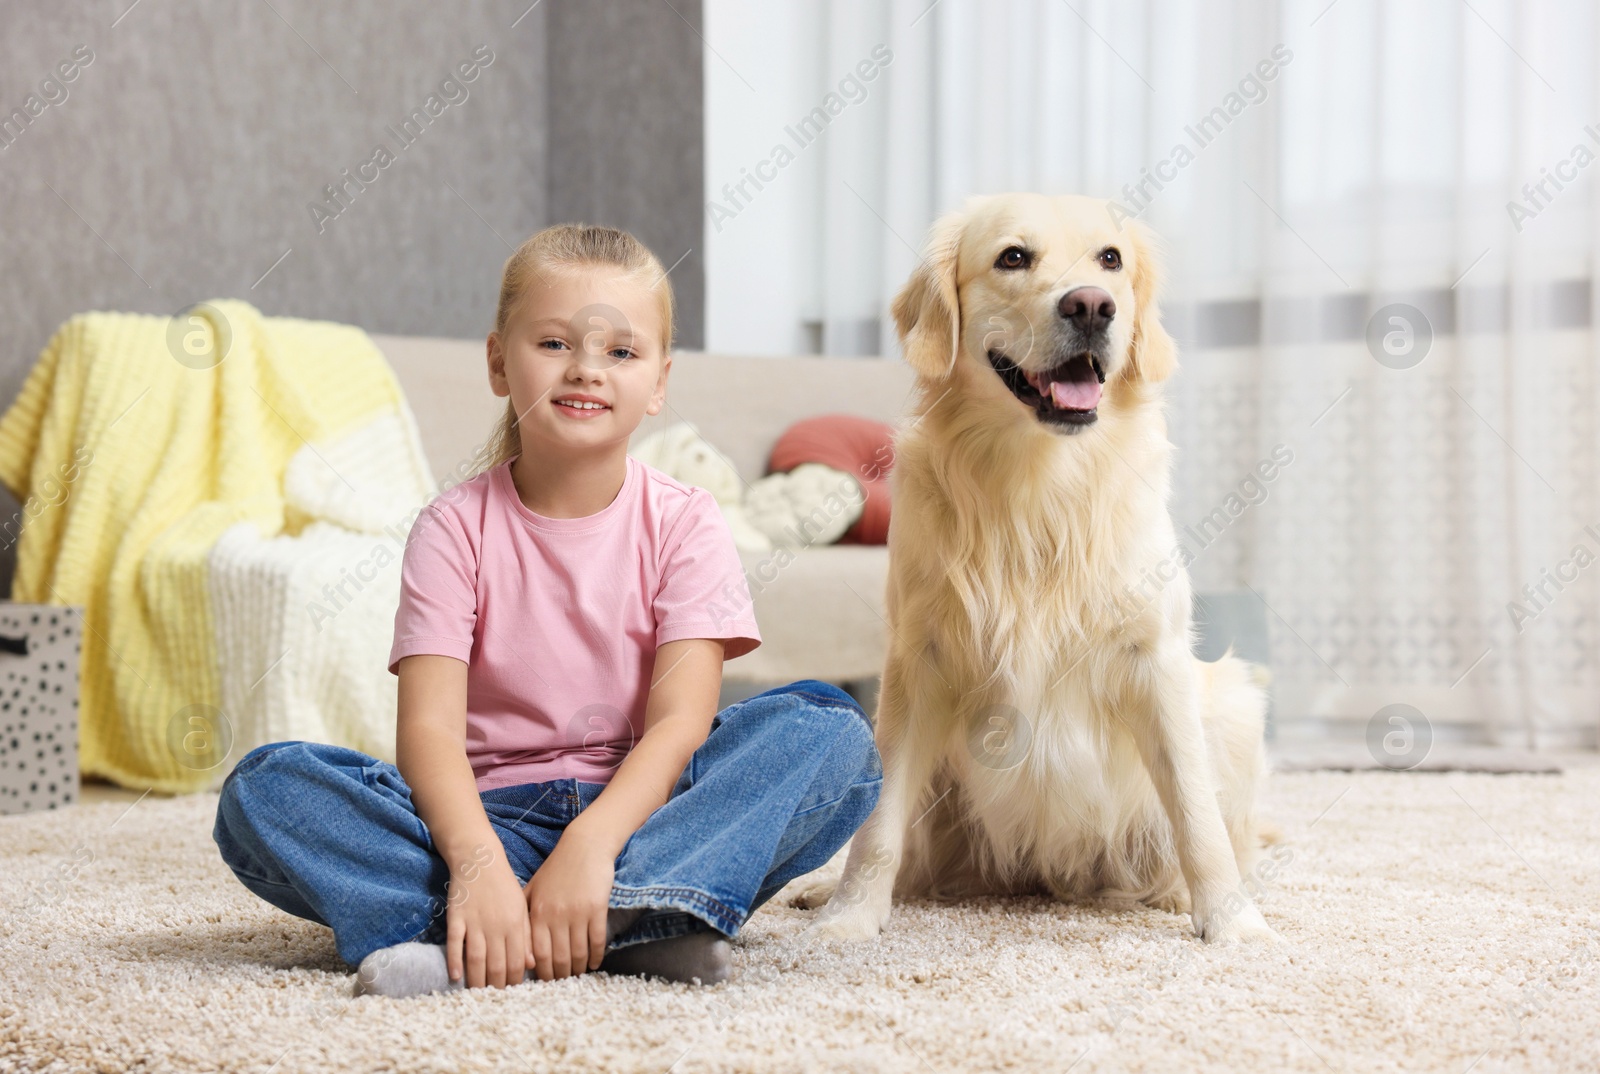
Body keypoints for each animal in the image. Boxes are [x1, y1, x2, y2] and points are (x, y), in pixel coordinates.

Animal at [806, 191, 1280, 941]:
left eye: (1110, 259)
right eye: (1013, 257)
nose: (1090, 306)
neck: (1040, 485)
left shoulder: (1155, 658)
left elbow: (1196, 814)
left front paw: (1233, 926)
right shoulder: (918, 660)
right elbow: (878, 824)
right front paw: (850, 917)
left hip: (1234, 702)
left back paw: (1177, 894)